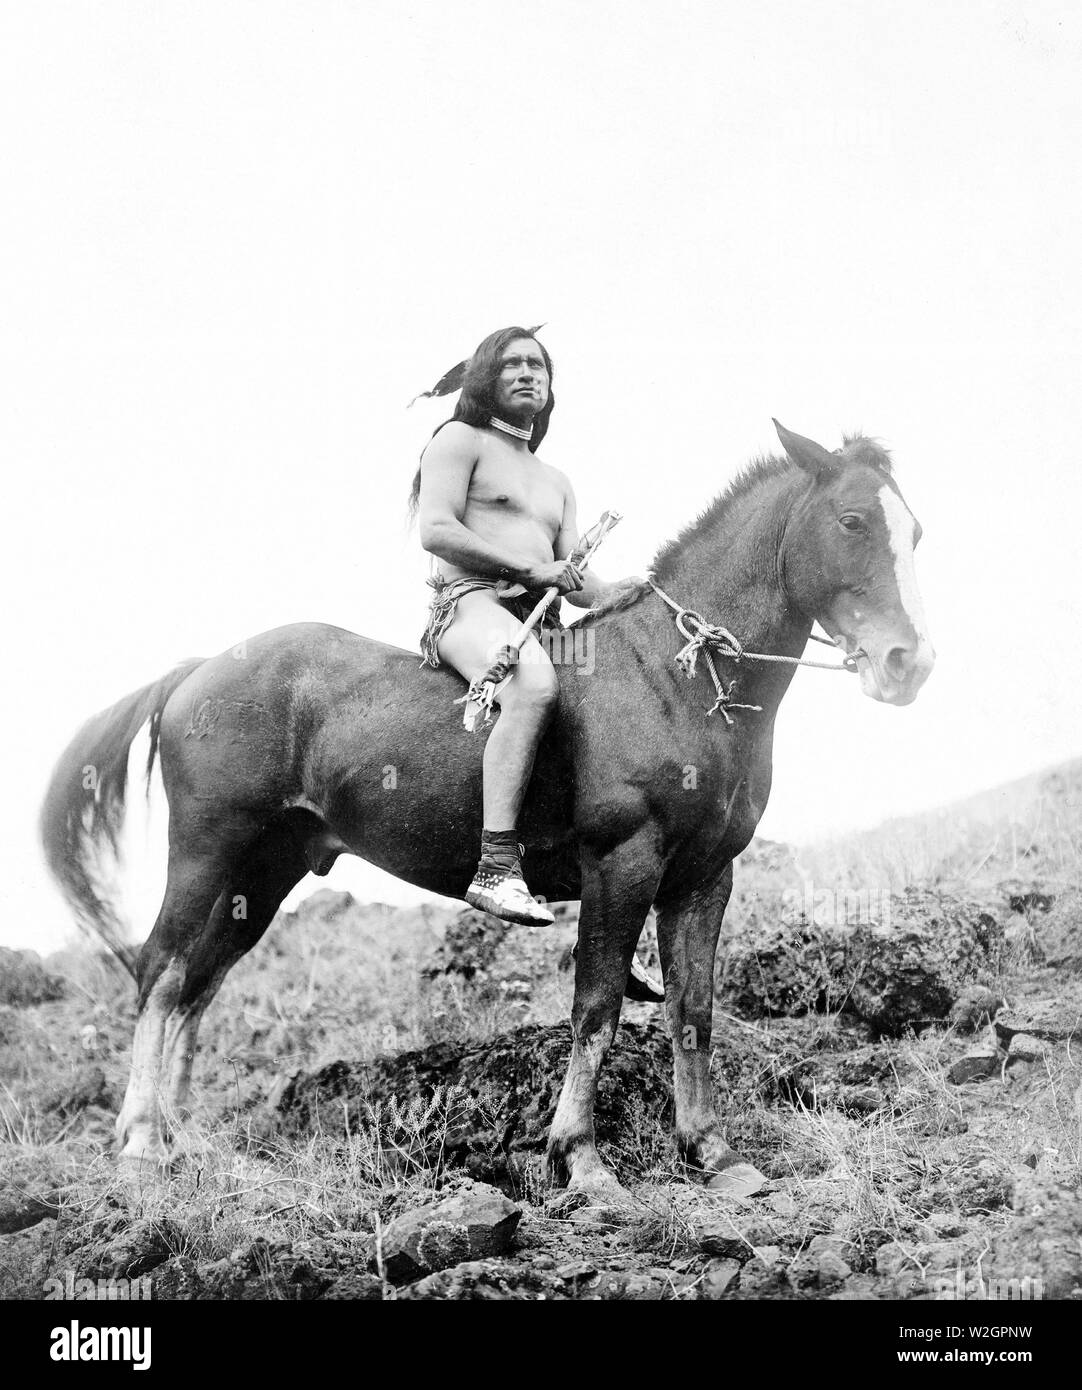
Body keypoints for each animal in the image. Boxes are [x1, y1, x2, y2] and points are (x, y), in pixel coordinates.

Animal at [42, 417, 929, 1200]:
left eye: (914, 532)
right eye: (852, 520)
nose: (907, 663)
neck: (673, 678)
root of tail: (203, 668)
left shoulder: (704, 878)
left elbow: (694, 1012)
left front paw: (709, 1151)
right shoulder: (623, 863)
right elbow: (596, 1009)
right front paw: (581, 1159)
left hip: (262, 875)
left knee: (200, 983)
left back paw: (180, 1137)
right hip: (207, 850)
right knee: (161, 971)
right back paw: (140, 1143)